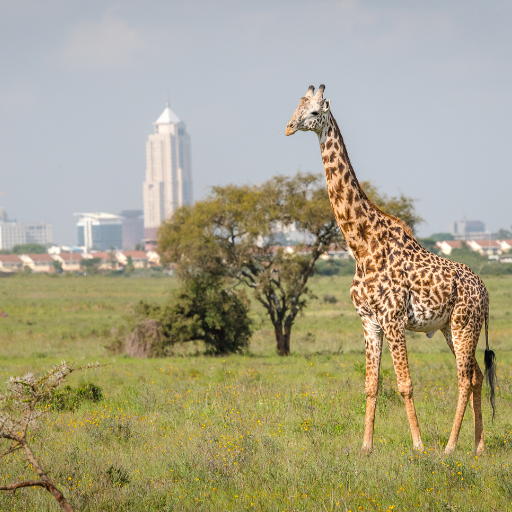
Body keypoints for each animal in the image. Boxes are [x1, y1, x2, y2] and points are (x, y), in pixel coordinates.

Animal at [284, 85, 496, 456]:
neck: (361, 245)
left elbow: (405, 384)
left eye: (314, 112)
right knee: (476, 376)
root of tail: (484, 292)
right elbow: (371, 385)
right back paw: (478, 446)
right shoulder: (369, 320)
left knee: (464, 378)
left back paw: (450, 447)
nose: (289, 127)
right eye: (297, 107)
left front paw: (418, 446)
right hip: (449, 327)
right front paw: (366, 447)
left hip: (464, 323)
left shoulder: (393, 318)